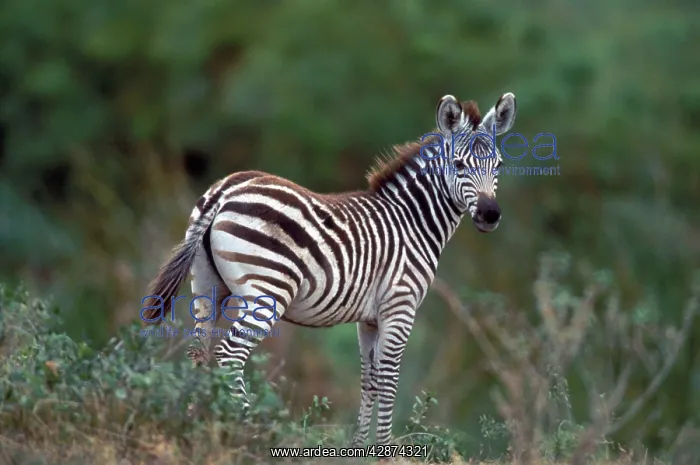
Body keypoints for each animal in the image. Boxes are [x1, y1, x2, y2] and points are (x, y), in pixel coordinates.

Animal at [141, 92, 517, 446]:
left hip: (207, 286)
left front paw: (361, 447)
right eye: (459, 164)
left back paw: (196, 427)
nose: (490, 215)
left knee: (200, 353)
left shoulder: (369, 319)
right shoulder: (400, 307)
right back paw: (247, 432)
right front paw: (385, 450)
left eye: (498, 165)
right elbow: (390, 379)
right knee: (228, 355)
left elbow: (370, 379)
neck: (412, 221)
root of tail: (227, 189)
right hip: (267, 292)